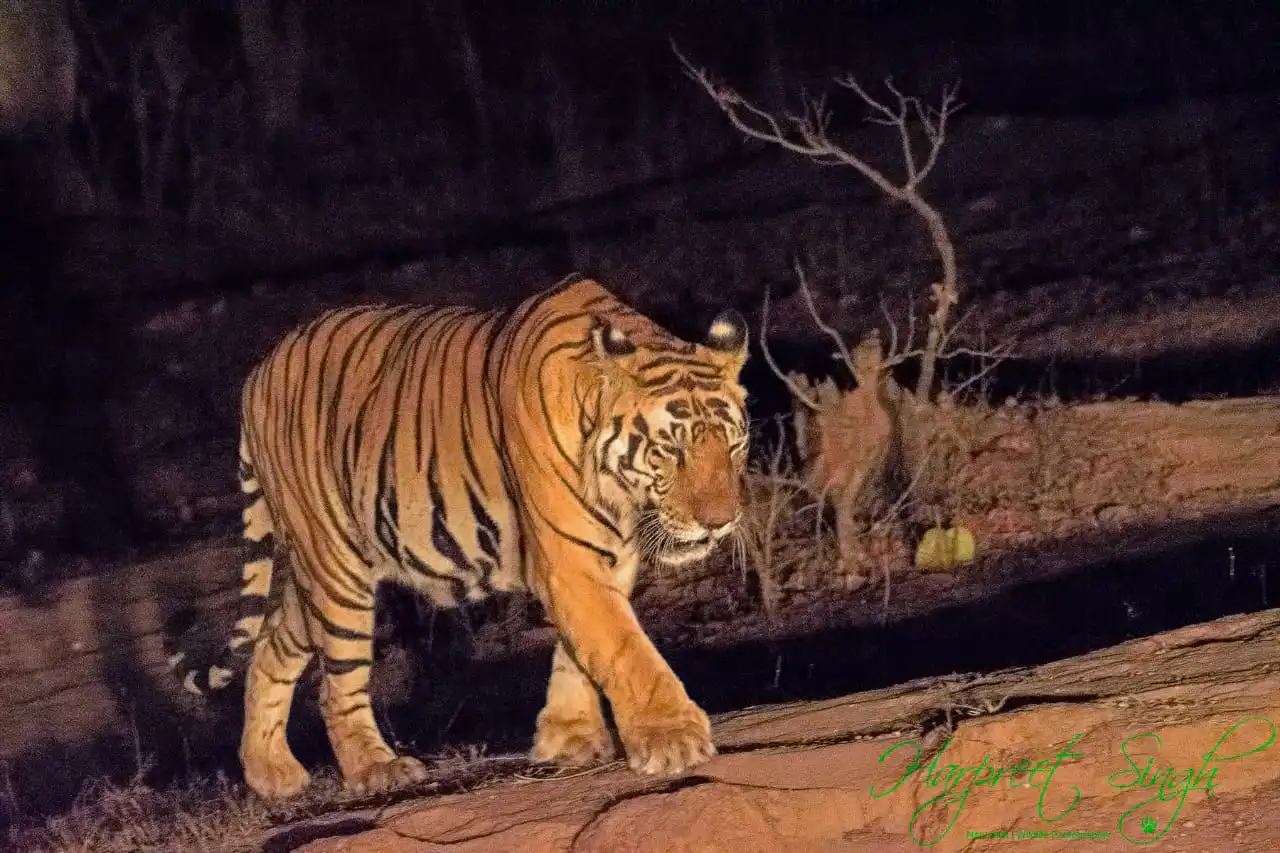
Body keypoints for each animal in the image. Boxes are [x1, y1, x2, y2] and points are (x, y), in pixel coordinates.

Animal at [165, 274, 751, 799]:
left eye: (734, 446)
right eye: (671, 449)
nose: (720, 521)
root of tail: (258, 371)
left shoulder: (609, 555)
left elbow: (581, 649)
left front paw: (569, 736)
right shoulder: (569, 558)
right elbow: (623, 647)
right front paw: (672, 738)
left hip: (313, 578)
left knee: (271, 646)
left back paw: (270, 774)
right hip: (336, 566)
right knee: (337, 684)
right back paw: (376, 769)